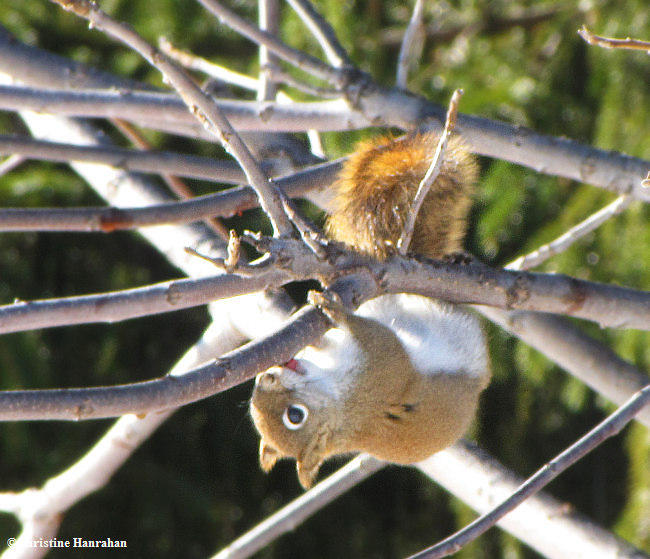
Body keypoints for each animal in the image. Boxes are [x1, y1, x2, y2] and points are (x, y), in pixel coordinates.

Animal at [247, 133, 486, 488]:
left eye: (293, 416)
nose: (265, 378)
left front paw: (321, 312)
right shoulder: (380, 369)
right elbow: (378, 337)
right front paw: (336, 310)